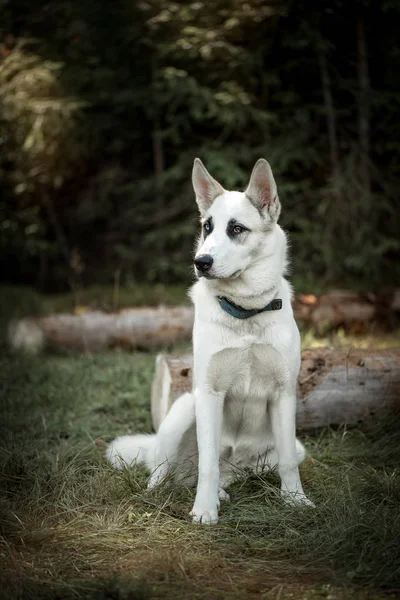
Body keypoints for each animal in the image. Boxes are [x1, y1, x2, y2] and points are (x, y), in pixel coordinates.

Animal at [108, 159, 314, 524]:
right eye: (207, 227)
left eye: (236, 229)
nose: (200, 262)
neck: (245, 313)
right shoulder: (209, 393)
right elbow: (208, 463)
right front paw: (204, 510)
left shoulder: (284, 394)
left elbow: (289, 462)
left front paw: (295, 500)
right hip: (184, 408)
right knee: (166, 472)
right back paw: (173, 492)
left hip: (280, 449)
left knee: (241, 471)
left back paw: (226, 490)